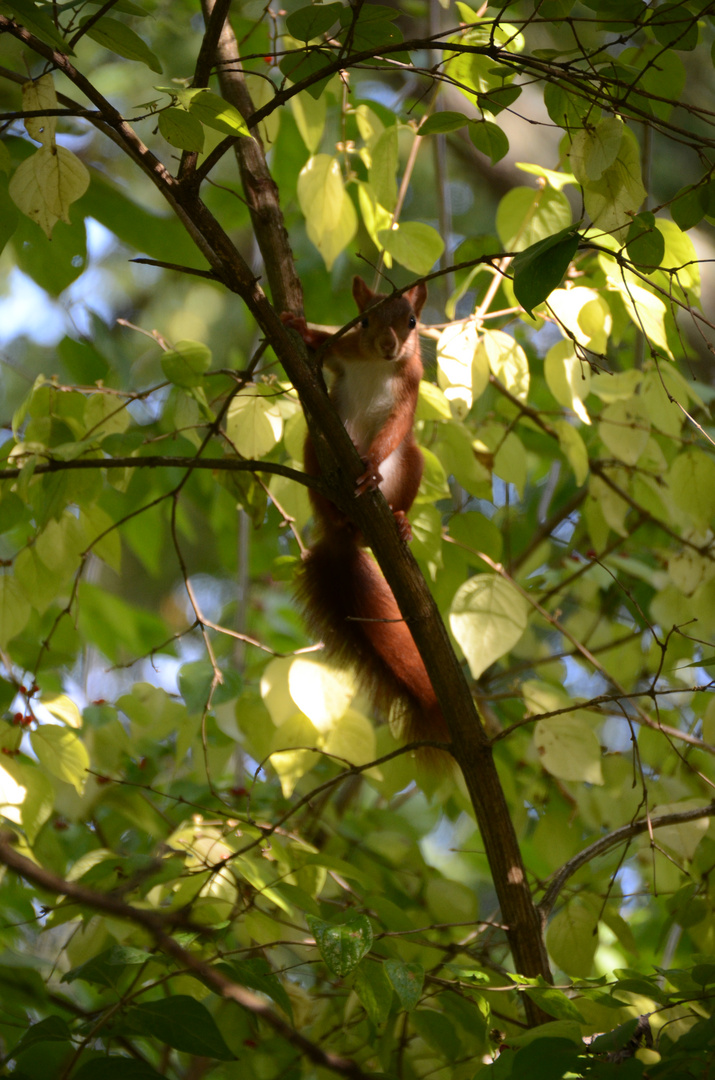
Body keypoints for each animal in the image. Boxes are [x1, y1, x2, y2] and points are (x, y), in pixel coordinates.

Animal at [282, 274, 451, 756]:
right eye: (364, 320)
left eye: (412, 321)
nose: (389, 344)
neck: (377, 364)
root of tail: (350, 540)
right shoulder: (346, 350)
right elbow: (321, 347)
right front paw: (297, 327)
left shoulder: (411, 383)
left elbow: (397, 424)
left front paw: (372, 464)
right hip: (315, 450)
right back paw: (339, 514)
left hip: (411, 465)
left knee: (405, 467)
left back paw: (399, 521)